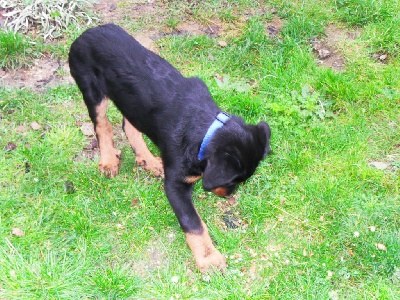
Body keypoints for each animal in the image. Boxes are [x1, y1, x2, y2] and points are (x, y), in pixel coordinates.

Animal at [69, 24, 272, 272]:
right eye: (233, 181)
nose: (228, 196)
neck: (206, 128)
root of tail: (86, 33)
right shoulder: (175, 184)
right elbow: (193, 223)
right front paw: (209, 258)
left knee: (128, 124)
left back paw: (148, 160)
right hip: (91, 89)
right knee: (102, 125)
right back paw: (108, 160)